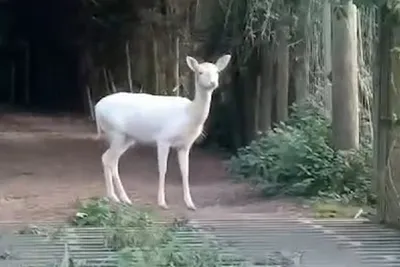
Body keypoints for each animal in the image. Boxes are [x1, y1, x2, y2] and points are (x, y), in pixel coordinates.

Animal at [94, 54, 231, 211]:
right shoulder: (163, 139)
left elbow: (185, 171)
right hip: (116, 132)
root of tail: (96, 108)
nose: (213, 83)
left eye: (217, 72)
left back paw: (117, 197)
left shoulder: (185, 145)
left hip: (126, 138)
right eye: (200, 72)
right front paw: (162, 202)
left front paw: (190, 203)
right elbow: (163, 169)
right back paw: (120, 198)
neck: (189, 115)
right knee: (109, 159)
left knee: (109, 159)